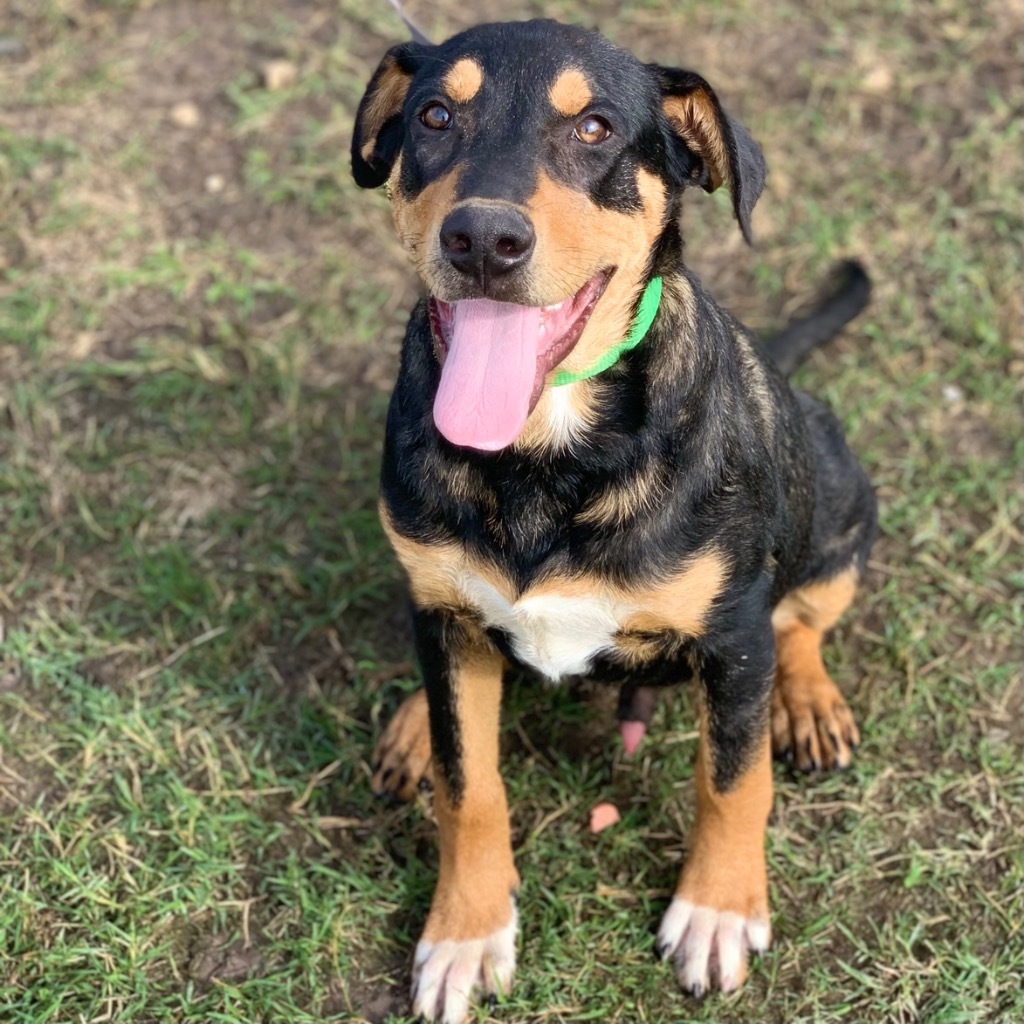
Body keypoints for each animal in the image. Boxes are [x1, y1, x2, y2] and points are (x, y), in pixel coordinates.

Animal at [350, 18, 872, 1024]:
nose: (482, 238)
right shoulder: (445, 612)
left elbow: (733, 779)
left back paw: (809, 700)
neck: (542, 452)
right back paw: (411, 723)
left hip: (841, 504)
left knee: (808, 618)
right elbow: (469, 784)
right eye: (434, 115)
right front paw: (467, 931)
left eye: (594, 128)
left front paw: (717, 912)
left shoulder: (735, 636)